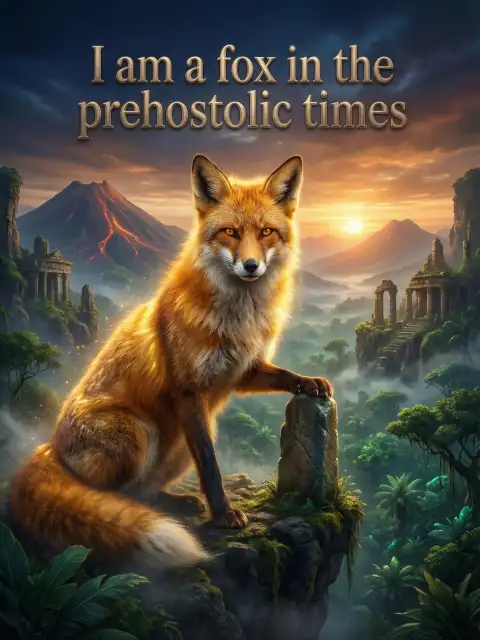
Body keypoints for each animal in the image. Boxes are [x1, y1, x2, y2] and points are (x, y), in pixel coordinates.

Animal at [10, 154, 333, 569]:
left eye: (266, 232)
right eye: (229, 232)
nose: (250, 266)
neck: (238, 318)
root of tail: (49, 445)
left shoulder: (241, 370)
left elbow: (283, 376)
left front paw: (310, 382)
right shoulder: (188, 391)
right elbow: (210, 465)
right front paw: (223, 513)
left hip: (179, 444)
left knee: (144, 490)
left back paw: (176, 502)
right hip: (141, 433)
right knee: (111, 496)